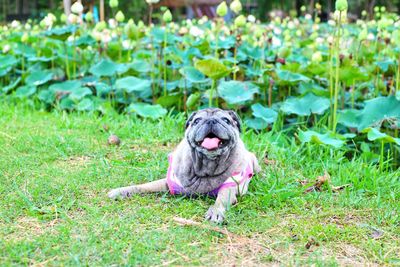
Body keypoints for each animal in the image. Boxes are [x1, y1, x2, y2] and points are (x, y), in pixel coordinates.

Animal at [108, 108, 260, 224]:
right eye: (197, 121)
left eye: (226, 120)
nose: (211, 121)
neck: (206, 164)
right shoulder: (168, 183)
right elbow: (144, 186)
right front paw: (122, 191)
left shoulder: (228, 189)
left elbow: (220, 201)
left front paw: (215, 211)